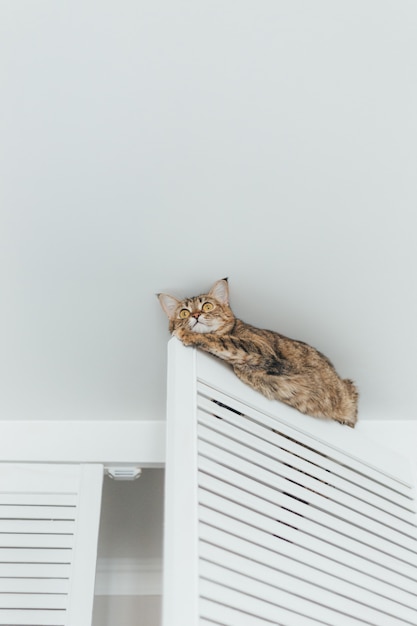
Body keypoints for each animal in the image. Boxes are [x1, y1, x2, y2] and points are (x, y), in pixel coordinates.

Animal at [157, 280, 358, 426]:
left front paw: (187, 334)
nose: (195, 316)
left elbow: (221, 341)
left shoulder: (261, 349)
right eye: (184, 313)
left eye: (207, 306)